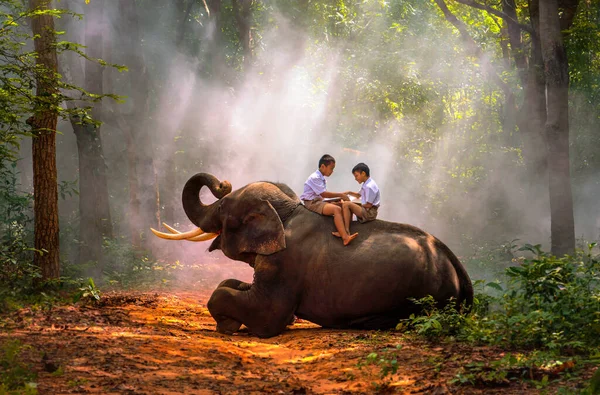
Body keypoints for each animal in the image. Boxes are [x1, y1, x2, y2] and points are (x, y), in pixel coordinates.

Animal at [154, 172, 474, 338]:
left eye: (222, 207)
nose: (223, 183)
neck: (287, 210)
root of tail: (459, 268)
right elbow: (229, 284)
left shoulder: (286, 263)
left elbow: (266, 316)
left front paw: (228, 325)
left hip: (425, 297)